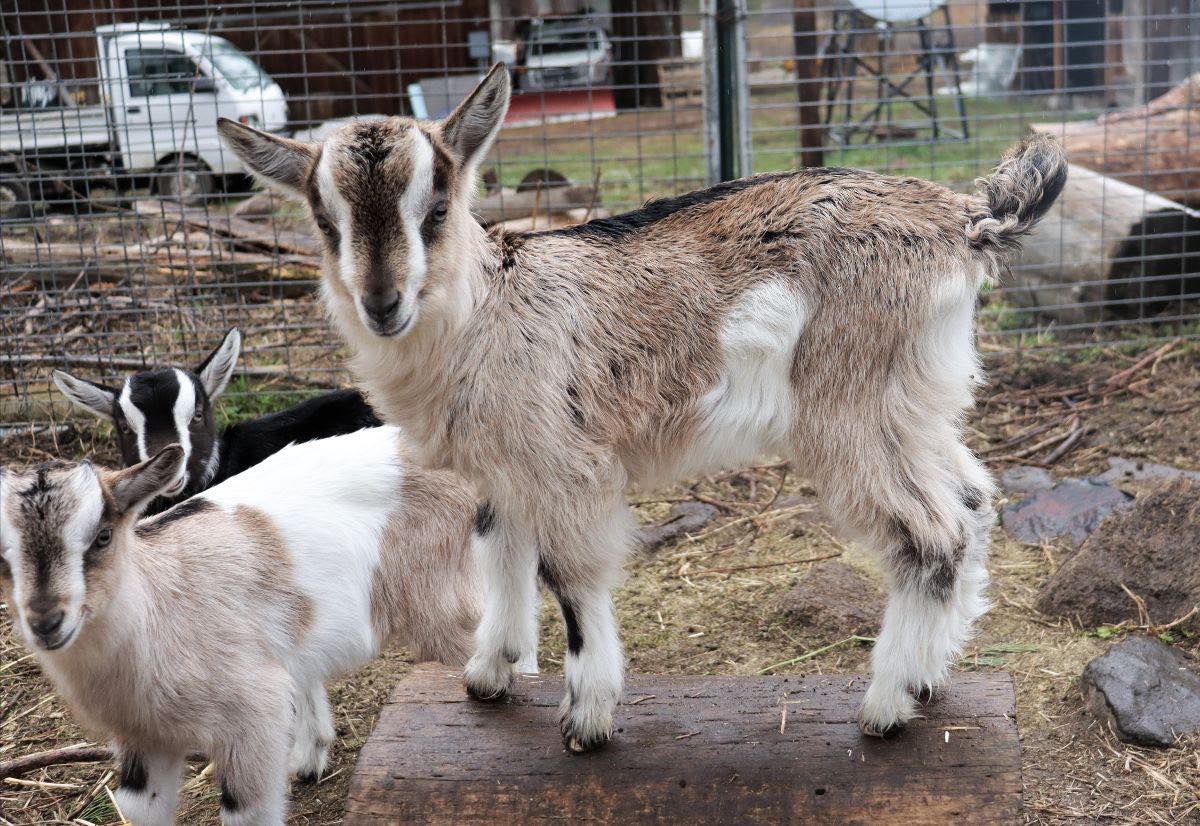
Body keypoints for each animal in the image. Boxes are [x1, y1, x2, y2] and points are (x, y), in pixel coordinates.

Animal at [0, 426, 496, 824]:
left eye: (102, 536)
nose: (47, 621)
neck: (159, 607)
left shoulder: (251, 717)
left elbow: (247, 811)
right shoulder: (142, 737)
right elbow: (140, 810)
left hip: (446, 601)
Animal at [218, 65, 1067, 753]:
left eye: (435, 206)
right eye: (326, 221)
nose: (383, 302)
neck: (488, 309)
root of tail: (964, 220)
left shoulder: (564, 462)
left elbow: (569, 576)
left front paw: (587, 718)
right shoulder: (506, 465)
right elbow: (498, 549)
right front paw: (489, 673)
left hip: (849, 406)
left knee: (931, 533)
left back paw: (886, 706)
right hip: (917, 398)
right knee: (972, 500)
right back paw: (930, 676)